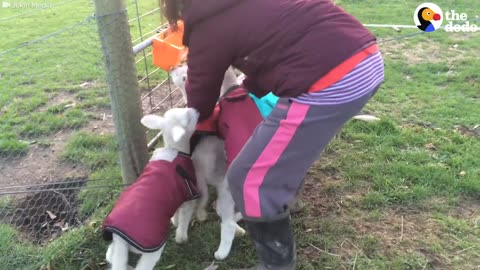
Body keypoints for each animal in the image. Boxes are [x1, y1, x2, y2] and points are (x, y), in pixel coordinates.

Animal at [104, 107, 202, 270]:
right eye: (188, 118)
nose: (196, 110)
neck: (174, 149)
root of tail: (121, 237)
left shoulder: (176, 195)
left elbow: (176, 212)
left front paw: (174, 221)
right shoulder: (189, 195)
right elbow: (185, 216)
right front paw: (181, 237)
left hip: (120, 246)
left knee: (113, 257)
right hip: (151, 246)